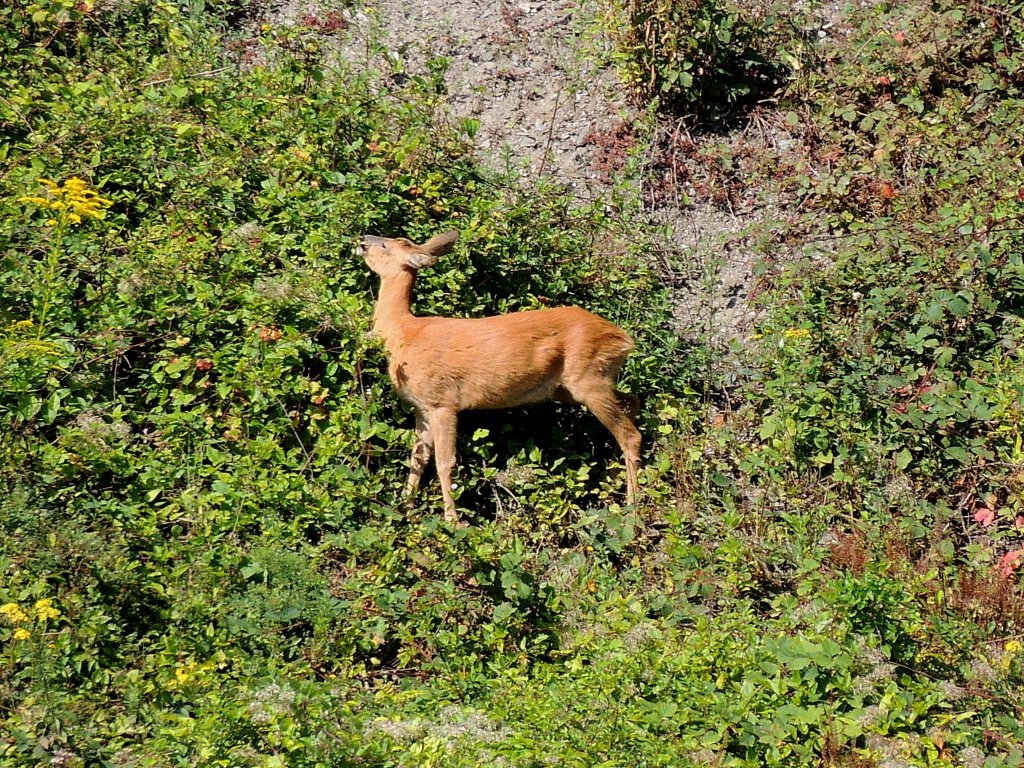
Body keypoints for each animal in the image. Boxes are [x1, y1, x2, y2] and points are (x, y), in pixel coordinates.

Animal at [360, 228, 638, 524]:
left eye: (387, 245)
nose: (362, 240)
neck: (404, 333)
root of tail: (624, 339)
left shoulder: (442, 401)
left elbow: (444, 462)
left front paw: (452, 521)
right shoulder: (421, 407)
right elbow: (418, 459)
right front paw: (404, 509)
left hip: (588, 377)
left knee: (630, 435)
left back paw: (633, 507)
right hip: (574, 386)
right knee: (632, 401)